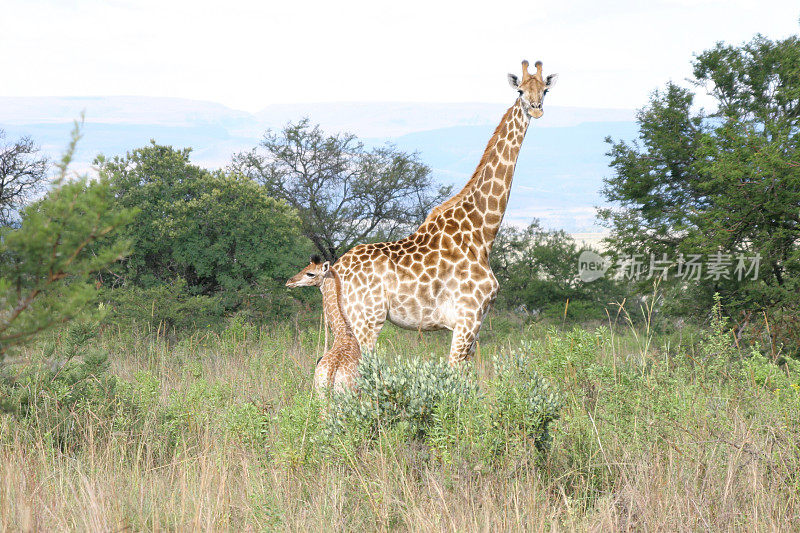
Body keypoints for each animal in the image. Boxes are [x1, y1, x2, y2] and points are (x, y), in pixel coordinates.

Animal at [324, 60, 556, 364]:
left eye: (545, 89)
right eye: (519, 91)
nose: (536, 108)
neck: (482, 232)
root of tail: (334, 271)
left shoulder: (477, 324)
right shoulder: (468, 318)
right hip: (367, 320)